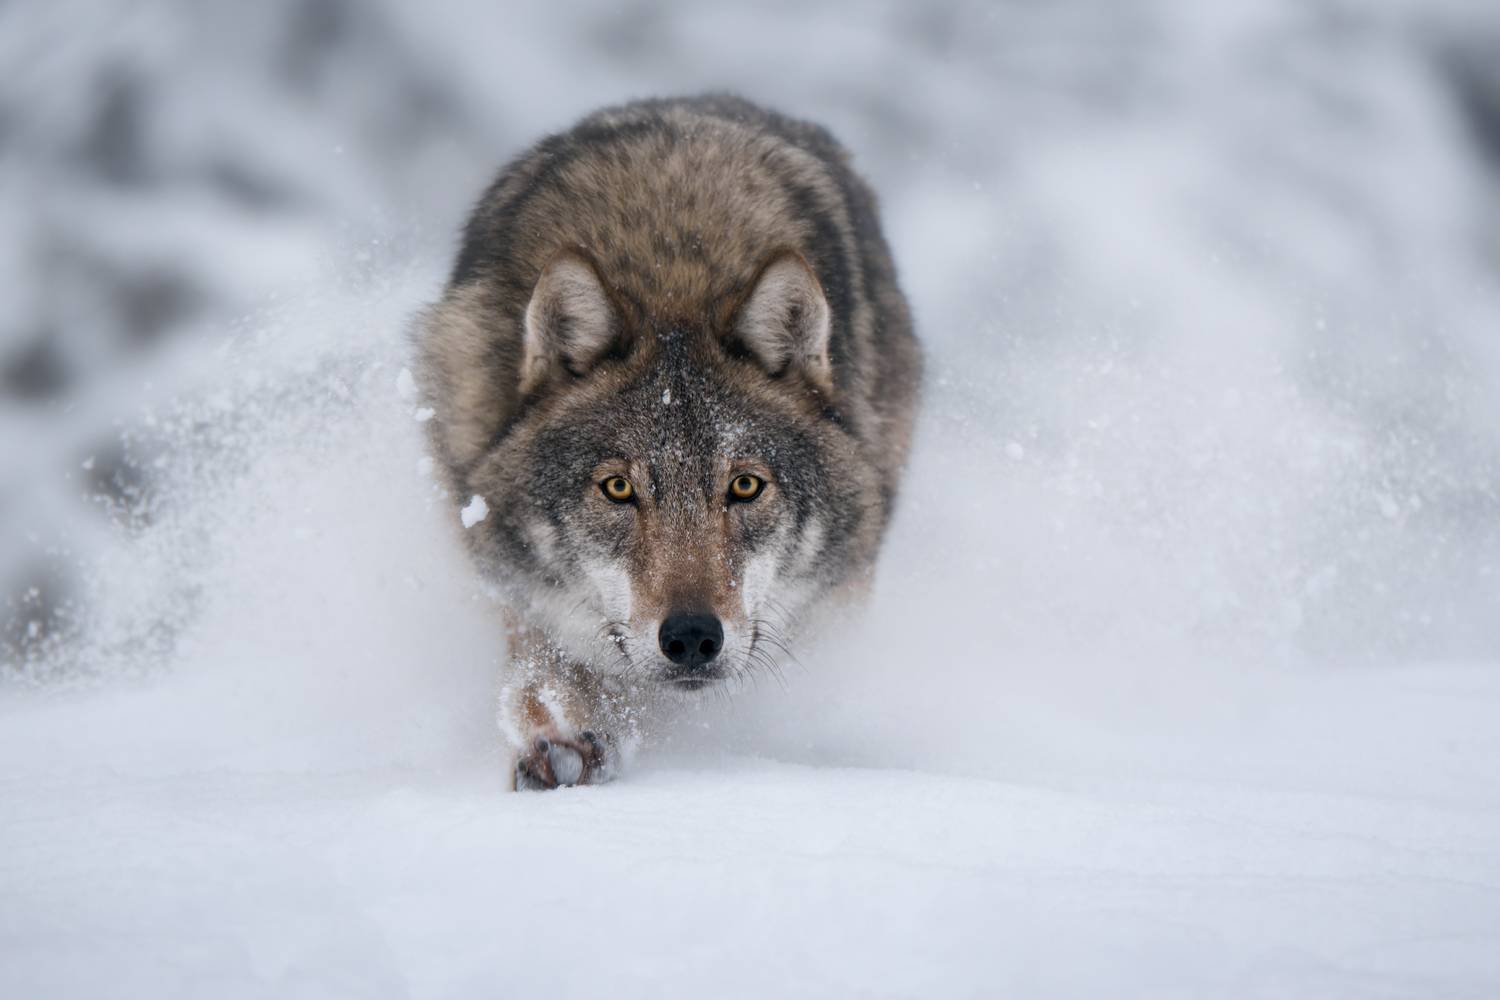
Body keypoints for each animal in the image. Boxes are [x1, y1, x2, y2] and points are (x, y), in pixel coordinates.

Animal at [414, 95, 921, 789]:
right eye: (618, 488)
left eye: (745, 485)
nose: (690, 639)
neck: (673, 273)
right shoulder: (501, 564)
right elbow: (540, 666)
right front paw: (558, 733)